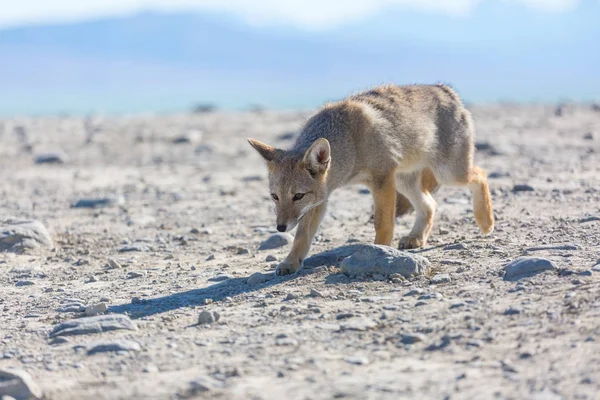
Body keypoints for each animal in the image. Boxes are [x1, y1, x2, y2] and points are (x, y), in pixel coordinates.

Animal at [247, 84, 492, 276]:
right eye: (275, 197)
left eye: (297, 196)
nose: (280, 227)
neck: (349, 142)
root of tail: (446, 89)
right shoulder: (319, 201)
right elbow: (301, 236)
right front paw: (290, 262)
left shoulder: (382, 179)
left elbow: (382, 223)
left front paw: (380, 253)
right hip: (405, 182)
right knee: (430, 205)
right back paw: (416, 237)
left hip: (448, 173)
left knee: (481, 174)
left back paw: (486, 221)